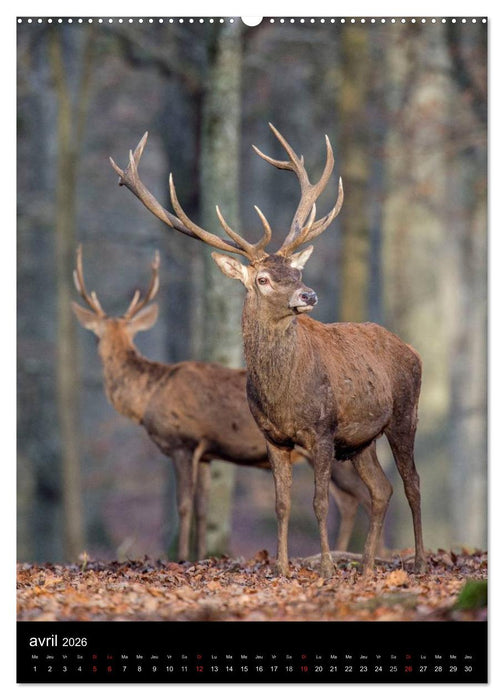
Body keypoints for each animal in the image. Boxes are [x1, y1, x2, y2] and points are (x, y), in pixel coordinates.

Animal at [72, 245, 374, 563]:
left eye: (95, 336)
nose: (100, 350)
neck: (149, 397)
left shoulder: (183, 442)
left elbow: (183, 506)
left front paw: (181, 557)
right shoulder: (206, 453)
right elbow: (203, 510)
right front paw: (201, 555)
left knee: (365, 496)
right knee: (350, 502)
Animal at [109, 125, 426, 578]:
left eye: (296, 270)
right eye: (261, 278)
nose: (308, 295)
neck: (283, 396)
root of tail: (411, 349)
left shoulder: (322, 429)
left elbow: (319, 503)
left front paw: (325, 568)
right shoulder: (273, 437)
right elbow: (281, 504)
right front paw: (282, 568)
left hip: (404, 414)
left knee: (412, 484)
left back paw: (417, 562)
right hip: (361, 438)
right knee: (381, 490)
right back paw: (366, 567)